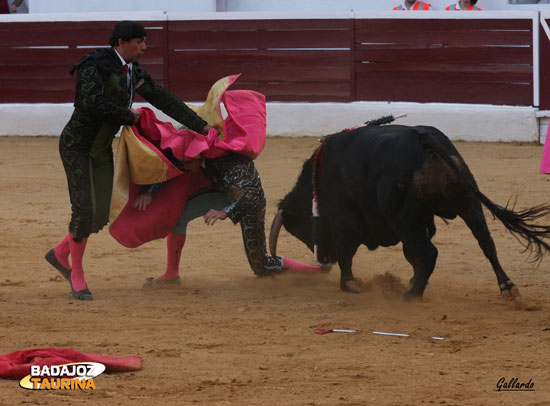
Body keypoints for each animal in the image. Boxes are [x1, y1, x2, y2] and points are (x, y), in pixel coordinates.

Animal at [270, 123, 550, 298]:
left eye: (302, 230)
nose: (325, 260)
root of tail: (424, 138)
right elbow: (410, 256)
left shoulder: (346, 223)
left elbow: (348, 254)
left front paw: (349, 284)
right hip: (468, 203)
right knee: (486, 243)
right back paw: (508, 288)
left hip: (402, 219)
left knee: (429, 253)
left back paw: (411, 295)